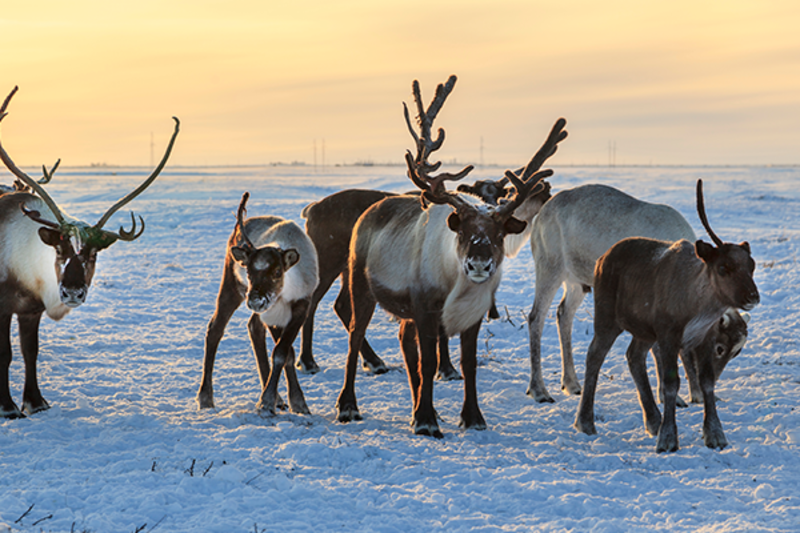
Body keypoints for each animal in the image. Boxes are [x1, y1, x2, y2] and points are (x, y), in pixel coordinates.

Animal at [197, 193, 318, 414]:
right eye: (249, 271)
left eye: (277, 272)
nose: (255, 300)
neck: (286, 291)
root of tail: (241, 225)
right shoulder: (271, 313)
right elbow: (283, 353)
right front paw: (267, 402)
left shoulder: (301, 306)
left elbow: (283, 352)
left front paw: (295, 402)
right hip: (231, 286)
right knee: (216, 328)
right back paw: (206, 398)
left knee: (253, 326)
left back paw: (279, 398)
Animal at [576, 181, 756, 450]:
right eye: (723, 267)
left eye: (751, 265)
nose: (752, 296)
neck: (698, 306)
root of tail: (602, 258)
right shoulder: (668, 335)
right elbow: (672, 384)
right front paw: (668, 439)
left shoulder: (704, 336)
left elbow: (706, 381)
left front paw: (715, 435)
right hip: (607, 318)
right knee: (594, 356)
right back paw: (585, 422)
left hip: (643, 331)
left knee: (634, 356)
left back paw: (652, 421)